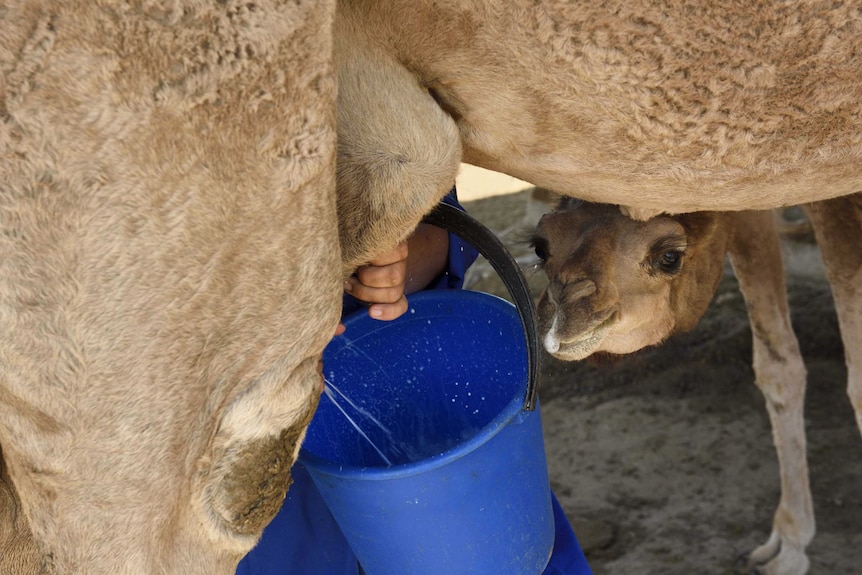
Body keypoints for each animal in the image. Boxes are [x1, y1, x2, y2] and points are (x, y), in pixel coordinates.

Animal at [532, 190, 862, 575]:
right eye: (542, 247)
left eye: (669, 256)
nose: (563, 314)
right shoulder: (749, 211)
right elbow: (777, 368)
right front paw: (787, 548)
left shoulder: (836, 200)